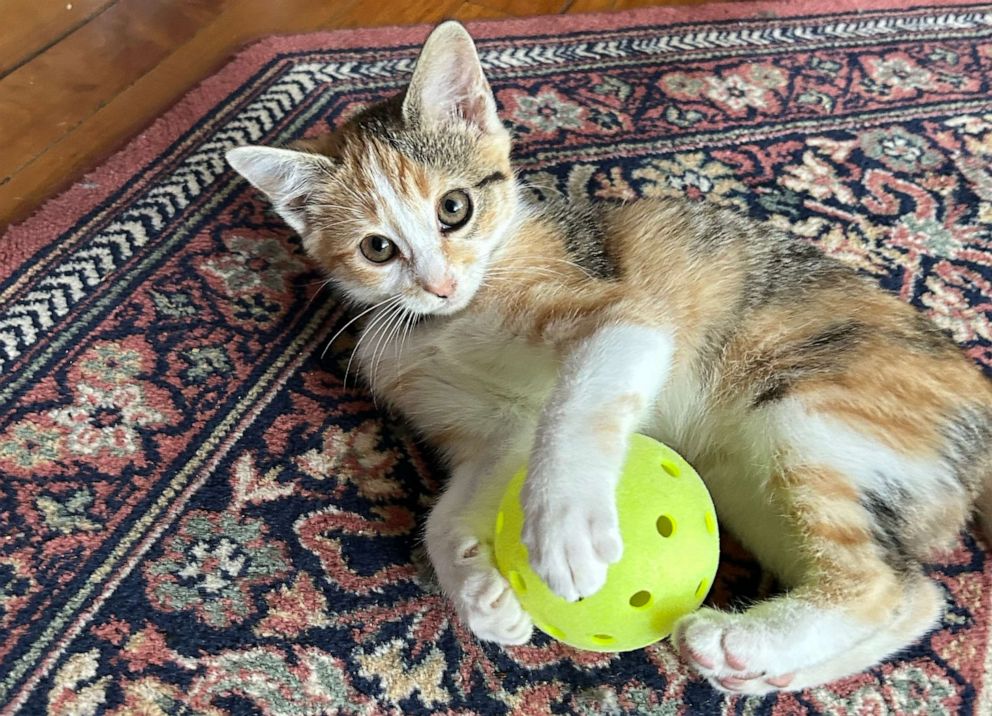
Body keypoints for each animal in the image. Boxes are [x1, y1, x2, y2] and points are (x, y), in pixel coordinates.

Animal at [225, 21, 992, 692]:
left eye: (454, 209)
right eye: (377, 249)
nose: (437, 285)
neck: (448, 323)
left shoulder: (624, 313)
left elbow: (576, 406)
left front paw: (562, 526)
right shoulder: (497, 425)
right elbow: (454, 505)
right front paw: (480, 590)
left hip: (809, 415)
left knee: (881, 584)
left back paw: (742, 639)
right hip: (755, 483)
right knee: (917, 599)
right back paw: (761, 670)